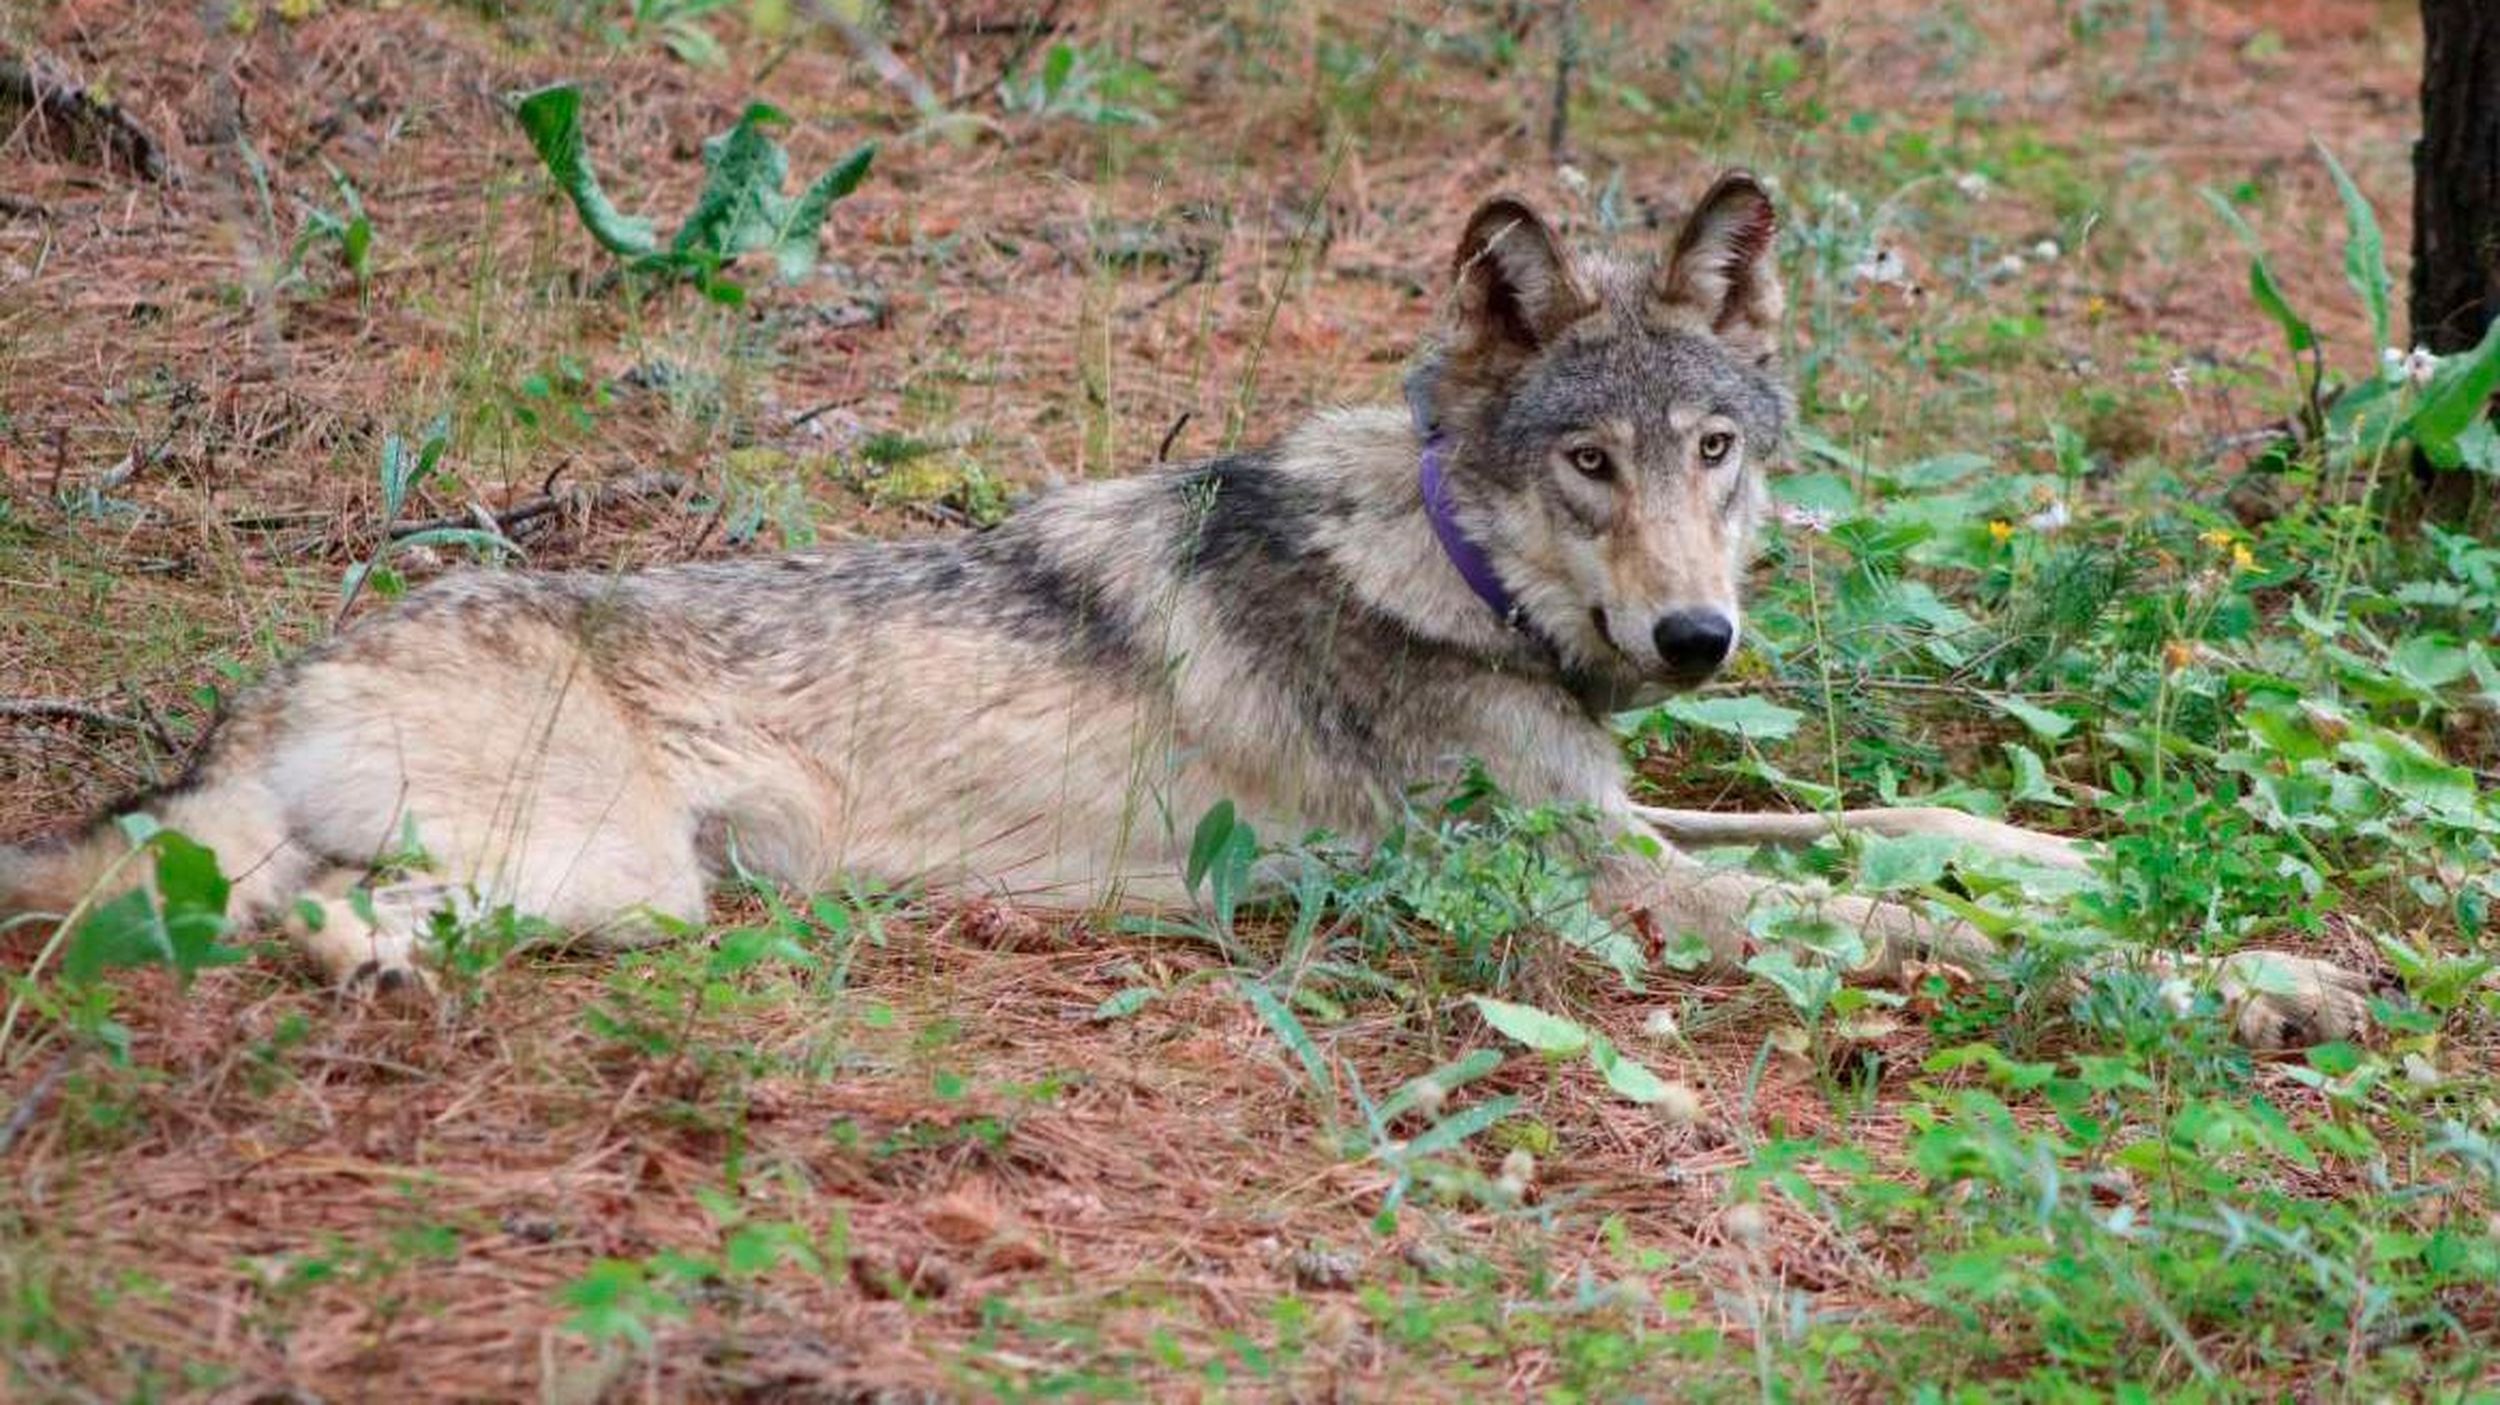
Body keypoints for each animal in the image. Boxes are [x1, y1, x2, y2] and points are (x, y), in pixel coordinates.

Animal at [0, 173, 2371, 1048]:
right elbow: (1895, 924)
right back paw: (345, 973)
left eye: (1715, 449)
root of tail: (287, 672)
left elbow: (1906, 833)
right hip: (608, 882)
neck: (1450, 571)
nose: (1696, 645)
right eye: (1586, 465)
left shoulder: (1616, 824)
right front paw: (2246, 975)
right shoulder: (1599, 896)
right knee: (268, 917)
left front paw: (2077, 862)